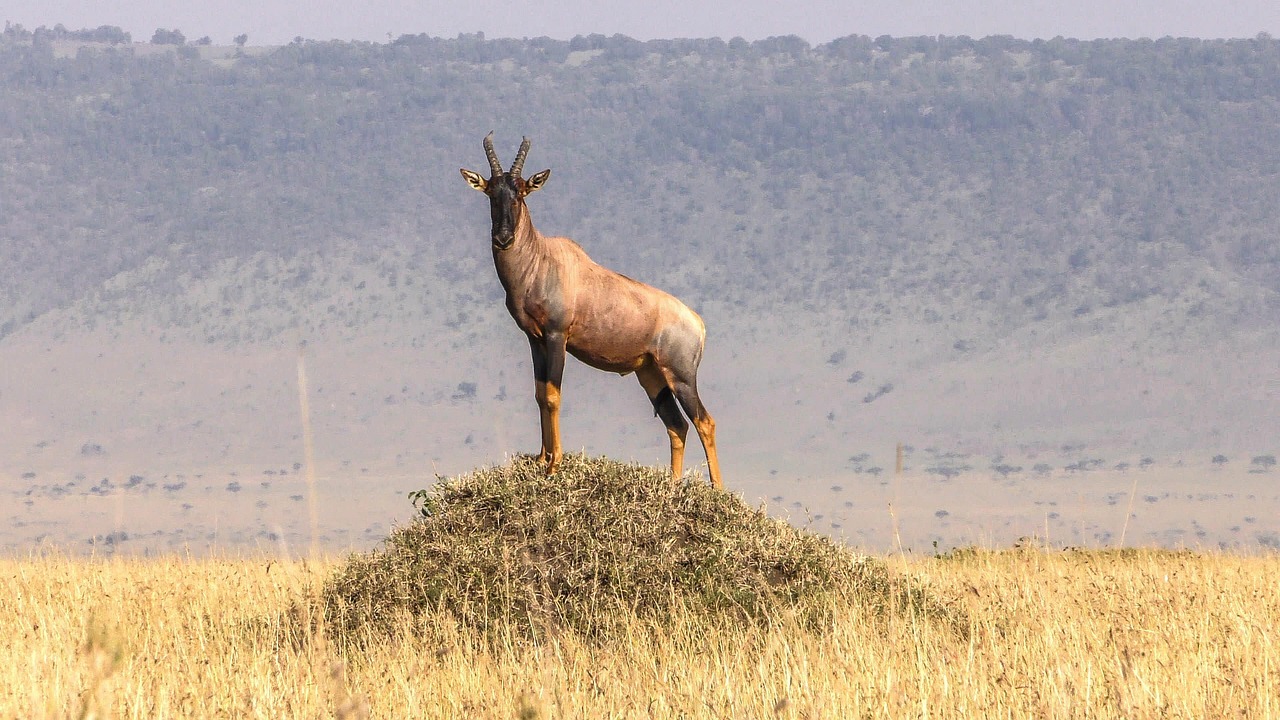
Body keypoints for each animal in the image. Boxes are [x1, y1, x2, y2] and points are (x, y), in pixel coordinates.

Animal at [460, 133, 723, 488]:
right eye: (491, 192)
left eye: (522, 193)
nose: (503, 239)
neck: (543, 259)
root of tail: (698, 324)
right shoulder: (534, 339)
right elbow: (540, 393)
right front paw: (541, 459)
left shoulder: (557, 336)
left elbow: (554, 395)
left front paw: (554, 465)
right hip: (651, 375)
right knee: (677, 425)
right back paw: (671, 485)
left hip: (681, 375)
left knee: (704, 422)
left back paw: (718, 491)